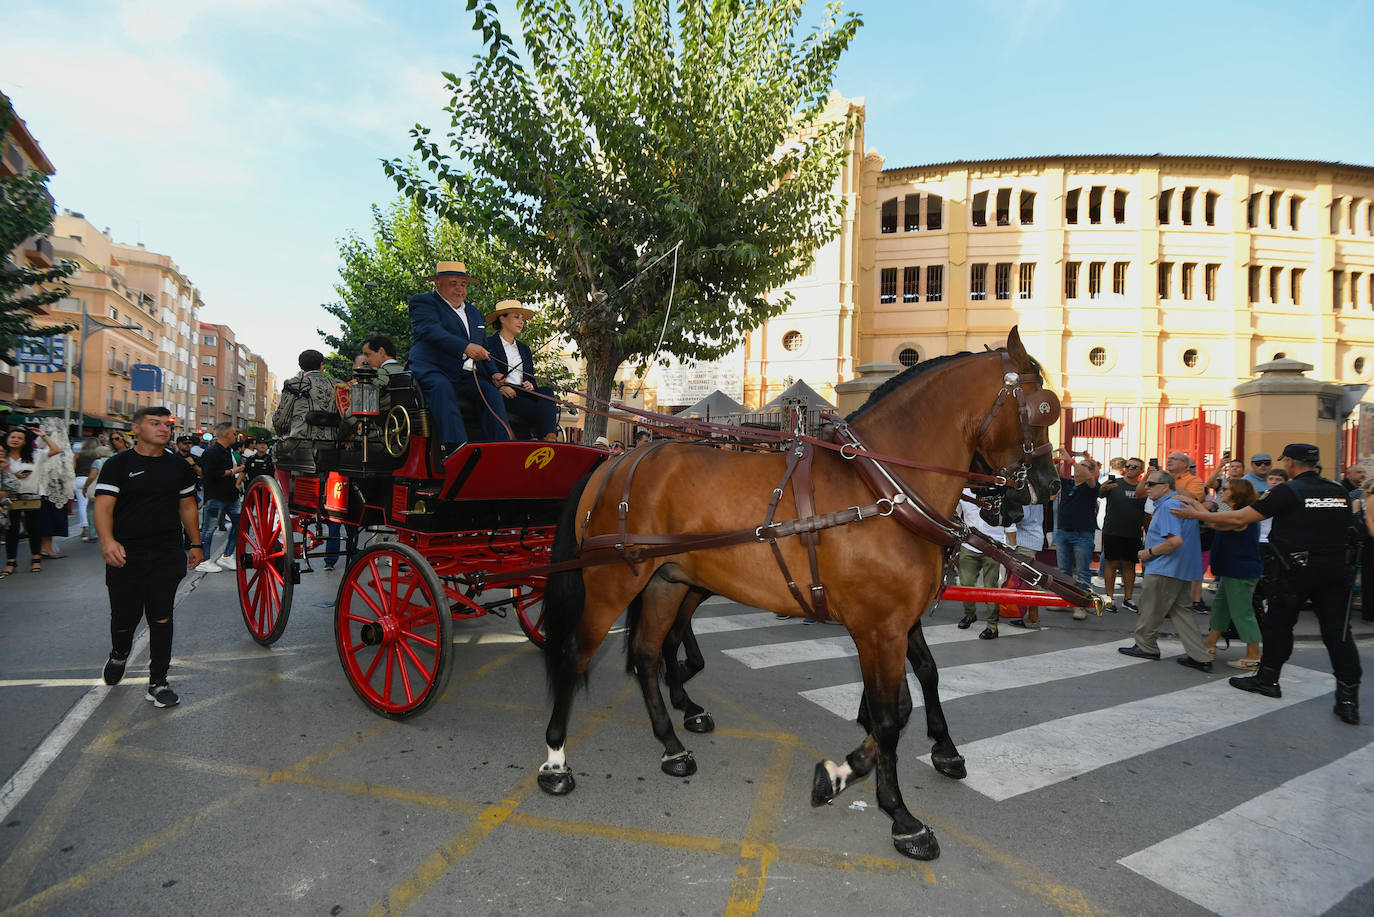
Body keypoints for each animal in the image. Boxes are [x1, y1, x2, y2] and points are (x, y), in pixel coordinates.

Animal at [535, 328, 1060, 863]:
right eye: (1043, 408)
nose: (1048, 486)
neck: (883, 491)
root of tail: (616, 462)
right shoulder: (877, 629)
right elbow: (889, 717)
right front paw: (898, 814)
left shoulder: (898, 621)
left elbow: (916, 689)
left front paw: (873, 766)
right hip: (612, 582)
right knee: (577, 655)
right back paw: (555, 760)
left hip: (668, 581)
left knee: (646, 653)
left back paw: (671, 744)